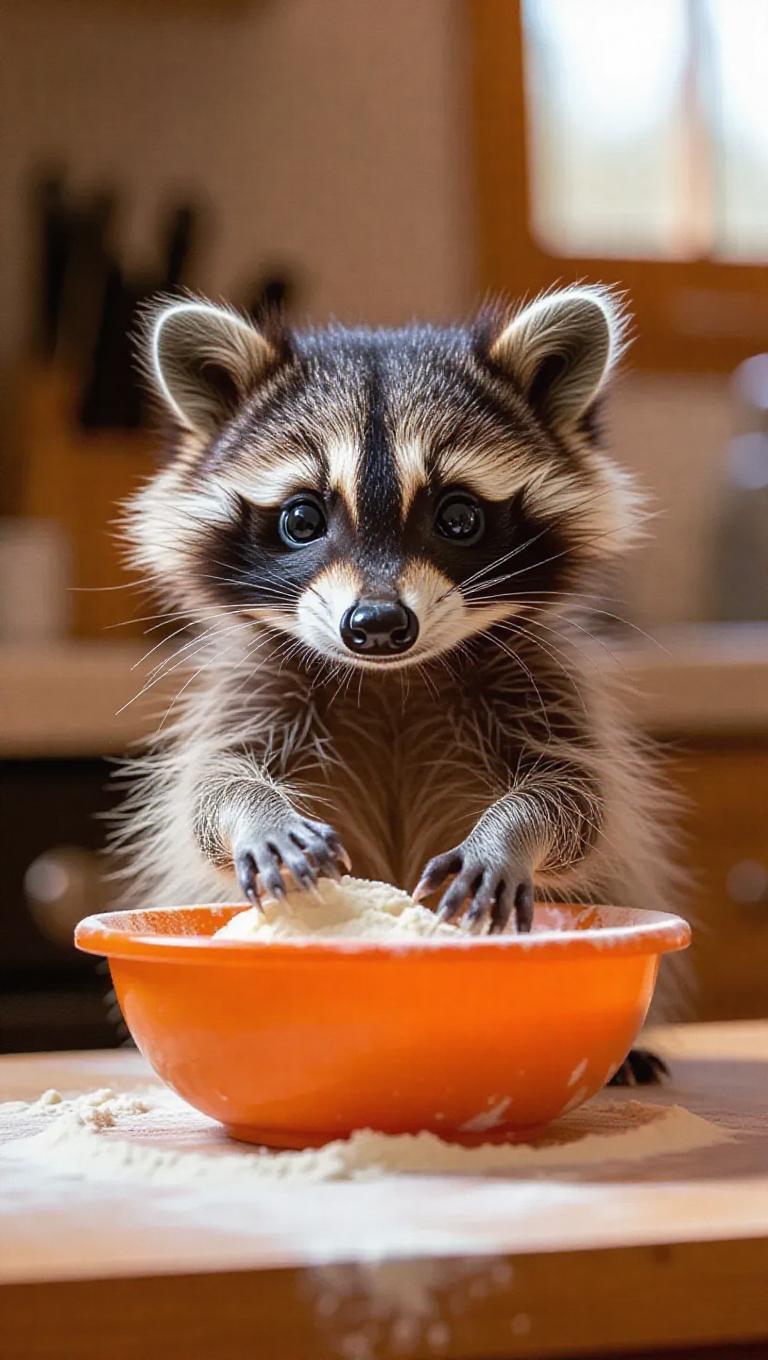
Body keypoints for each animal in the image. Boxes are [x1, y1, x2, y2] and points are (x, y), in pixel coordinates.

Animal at [118, 285, 677, 981]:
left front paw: (509, 832)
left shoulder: (540, 680)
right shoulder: (255, 686)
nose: (379, 626)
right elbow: (209, 789)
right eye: (301, 519)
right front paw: (255, 813)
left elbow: (576, 798)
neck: (391, 679)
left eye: (459, 517)